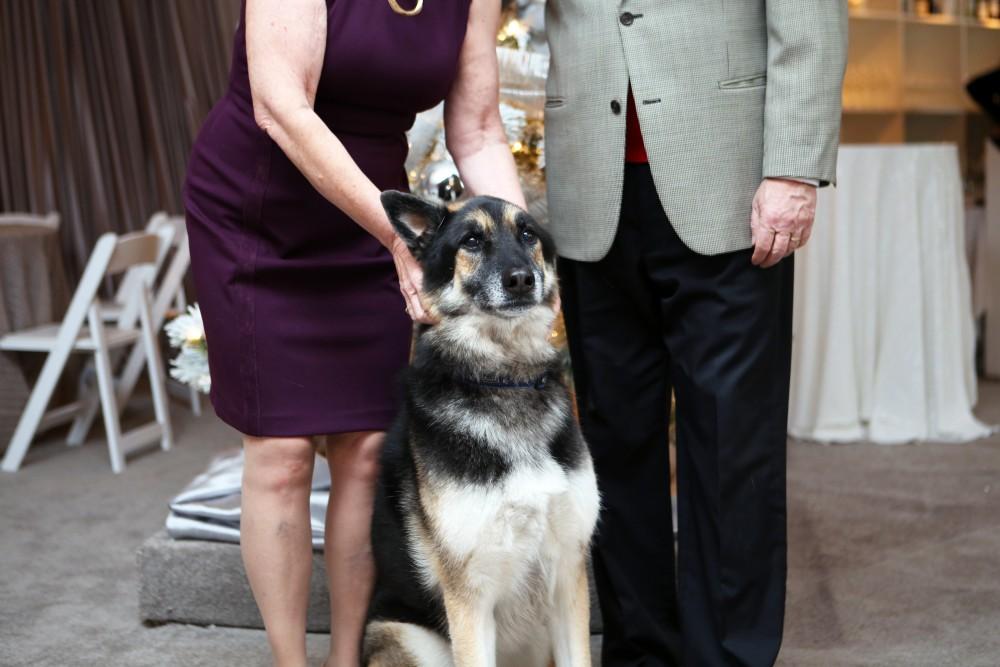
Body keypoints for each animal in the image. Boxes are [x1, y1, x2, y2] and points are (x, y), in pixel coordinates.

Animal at [368, 192, 600, 667]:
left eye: (527, 234)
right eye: (471, 241)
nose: (521, 280)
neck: (503, 378)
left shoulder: (568, 580)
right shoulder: (469, 600)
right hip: (405, 636)